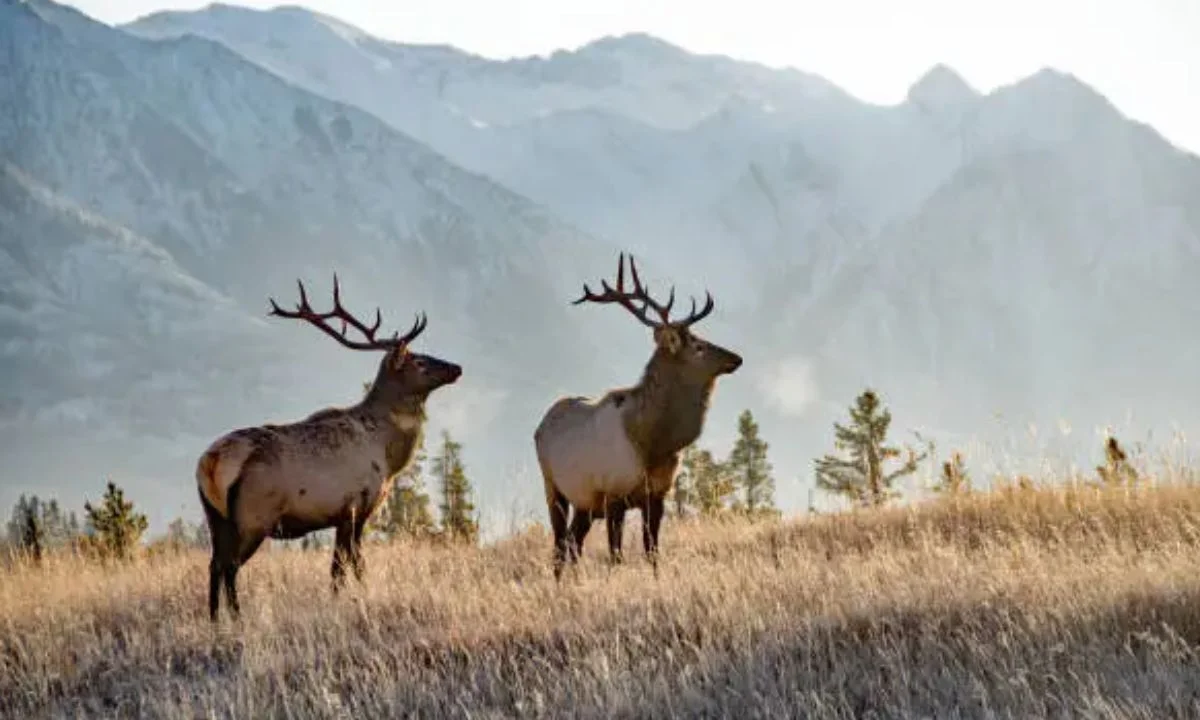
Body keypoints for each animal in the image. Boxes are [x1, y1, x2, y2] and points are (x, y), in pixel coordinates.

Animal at [195, 276, 462, 622]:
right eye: (420, 361)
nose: (456, 367)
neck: (388, 457)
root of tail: (211, 462)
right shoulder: (355, 506)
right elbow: (350, 566)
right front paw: (355, 600)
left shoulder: (341, 515)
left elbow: (340, 567)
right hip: (254, 517)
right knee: (230, 567)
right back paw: (238, 618)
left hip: (216, 517)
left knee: (214, 564)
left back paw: (216, 620)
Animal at [533, 253, 743, 580]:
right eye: (698, 346)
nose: (737, 358)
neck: (652, 445)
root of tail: (541, 425)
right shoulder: (613, 494)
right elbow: (616, 556)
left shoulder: (656, 495)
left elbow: (652, 552)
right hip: (553, 488)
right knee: (559, 546)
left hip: (585, 503)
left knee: (573, 542)